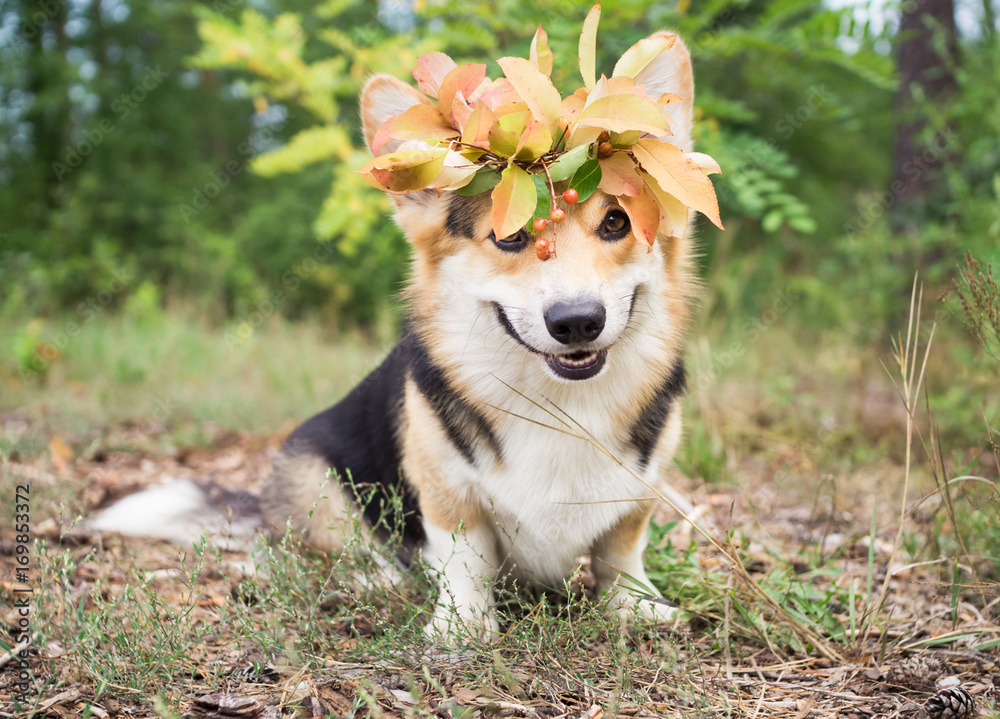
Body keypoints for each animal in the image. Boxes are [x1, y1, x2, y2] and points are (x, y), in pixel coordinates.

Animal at [94, 29, 704, 640]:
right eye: (509, 236)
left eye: (617, 222)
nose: (577, 320)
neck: (561, 401)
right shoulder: (444, 487)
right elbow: (465, 556)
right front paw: (463, 626)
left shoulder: (642, 488)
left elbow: (620, 550)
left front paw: (634, 604)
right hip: (319, 476)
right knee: (318, 549)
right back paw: (376, 576)